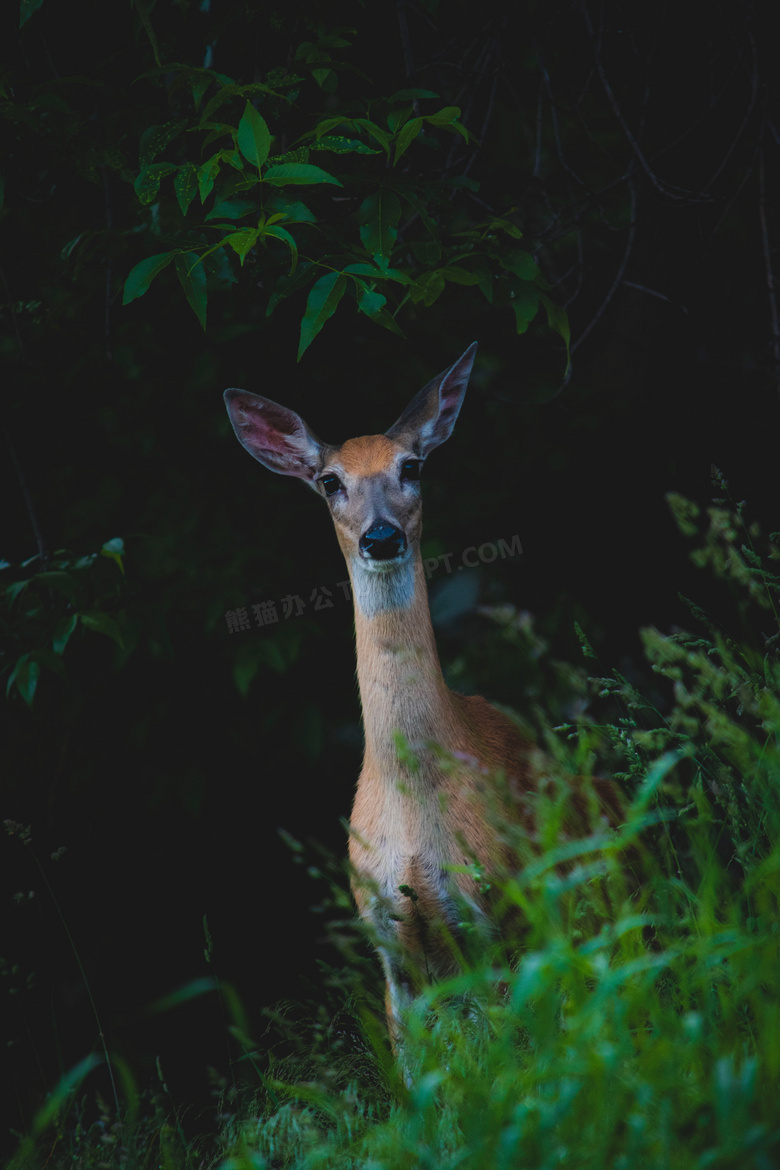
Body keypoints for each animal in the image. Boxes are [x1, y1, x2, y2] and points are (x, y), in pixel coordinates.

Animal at [222, 341, 626, 1057]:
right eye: (330, 481)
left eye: (410, 466)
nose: (381, 536)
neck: (413, 806)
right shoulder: (389, 947)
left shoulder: (500, 912)